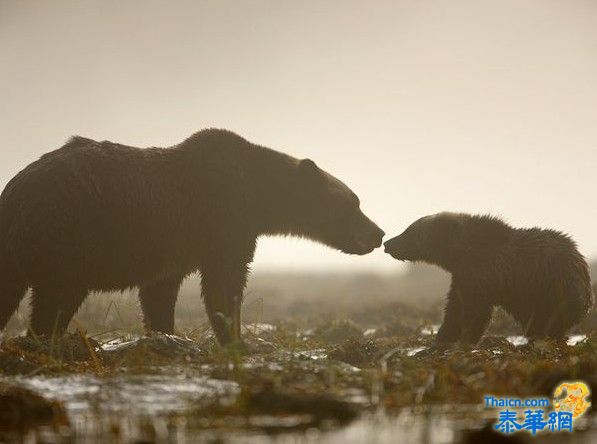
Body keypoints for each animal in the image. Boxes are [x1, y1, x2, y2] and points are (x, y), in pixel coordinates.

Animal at [0, 130, 382, 346]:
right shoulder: (223, 220)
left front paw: (166, 332)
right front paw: (237, 338)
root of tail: (14, 192)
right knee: (56, 297)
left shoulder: (173, 249)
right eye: (353, 203)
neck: (257, 194)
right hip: (68, 234)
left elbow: (159, 293)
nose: (378, 233)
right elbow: (224, 282)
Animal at [384, 213, 592, 346]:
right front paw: (445, 337)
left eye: (409, 231)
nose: (388, 243)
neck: (460, 252)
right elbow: (458, 305)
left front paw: (453, 337)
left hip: (551, 286)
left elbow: (471, 311)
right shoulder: (463, 275)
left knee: (548, 318)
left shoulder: (481, 274)